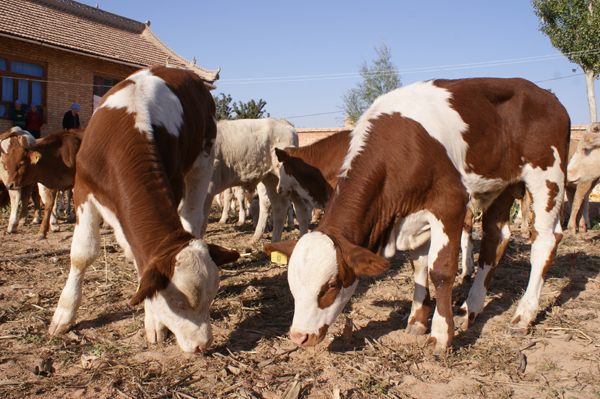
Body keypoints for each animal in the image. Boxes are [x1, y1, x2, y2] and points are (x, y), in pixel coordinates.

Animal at [48, 67, 239, 354]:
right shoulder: (82, 188)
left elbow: (144, 268)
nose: (204, 345)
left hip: (203, 157)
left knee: (193, 217)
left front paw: (154, 323)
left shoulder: (174, 184)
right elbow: (82, 254)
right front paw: (64, 313)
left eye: (211, 297)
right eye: (178, 302)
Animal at [264, 79, 568, 356]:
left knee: (545, 240)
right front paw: (418, 320)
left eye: (331, 285)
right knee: (496, 238)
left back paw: (524, 315)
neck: (401, 148)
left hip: (547, 176)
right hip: (501, 185)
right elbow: (419, 267)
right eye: (292, 284)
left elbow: (440, 270)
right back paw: (470, 309)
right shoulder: (411, 216)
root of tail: (546, 95)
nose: (299, 336)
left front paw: (441, 335)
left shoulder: (449, 204)